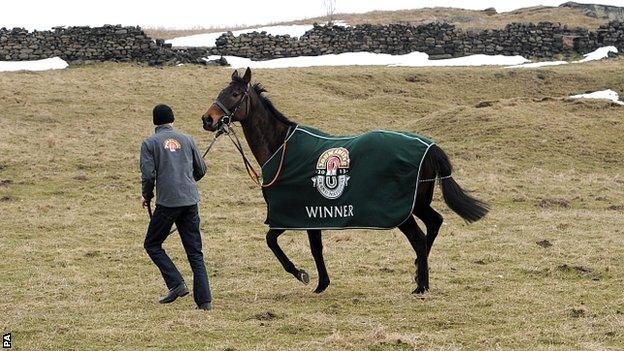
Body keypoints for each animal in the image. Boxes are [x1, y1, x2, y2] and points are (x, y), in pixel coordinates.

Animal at [202, 68, 490, 294]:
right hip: (417, 203)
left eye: (235, 95)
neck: (281, 146)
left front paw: (300, 274)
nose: (208, 119)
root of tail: (430, 147)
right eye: (222, 91)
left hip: (402, 211)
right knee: (434, 223)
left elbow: (272, 242)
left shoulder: (290, 213)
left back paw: (421, 285)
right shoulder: (310, 215)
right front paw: (322, 283)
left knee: (419, 238)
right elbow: (316, 248)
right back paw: (420, 273)